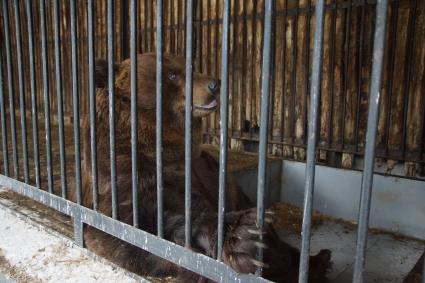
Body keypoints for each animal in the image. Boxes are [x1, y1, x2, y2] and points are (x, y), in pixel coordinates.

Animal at [73, 53, 330, 283]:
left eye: (190, 65)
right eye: (173, 75)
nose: (215, 83)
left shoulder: (196, 174)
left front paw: (251, 237)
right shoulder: (120, 176)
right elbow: (135, 233)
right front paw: (243, 238)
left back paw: (318, 259)